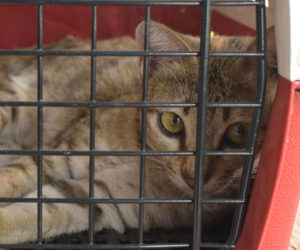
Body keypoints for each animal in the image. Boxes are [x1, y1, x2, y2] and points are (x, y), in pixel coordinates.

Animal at [0, 20, 288, 246]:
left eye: (240, 132)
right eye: (172, 121)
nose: (192, 179)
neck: (144, 155)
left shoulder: (104, 197)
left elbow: (40, 211)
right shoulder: (59, 155)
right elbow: (15, 176)